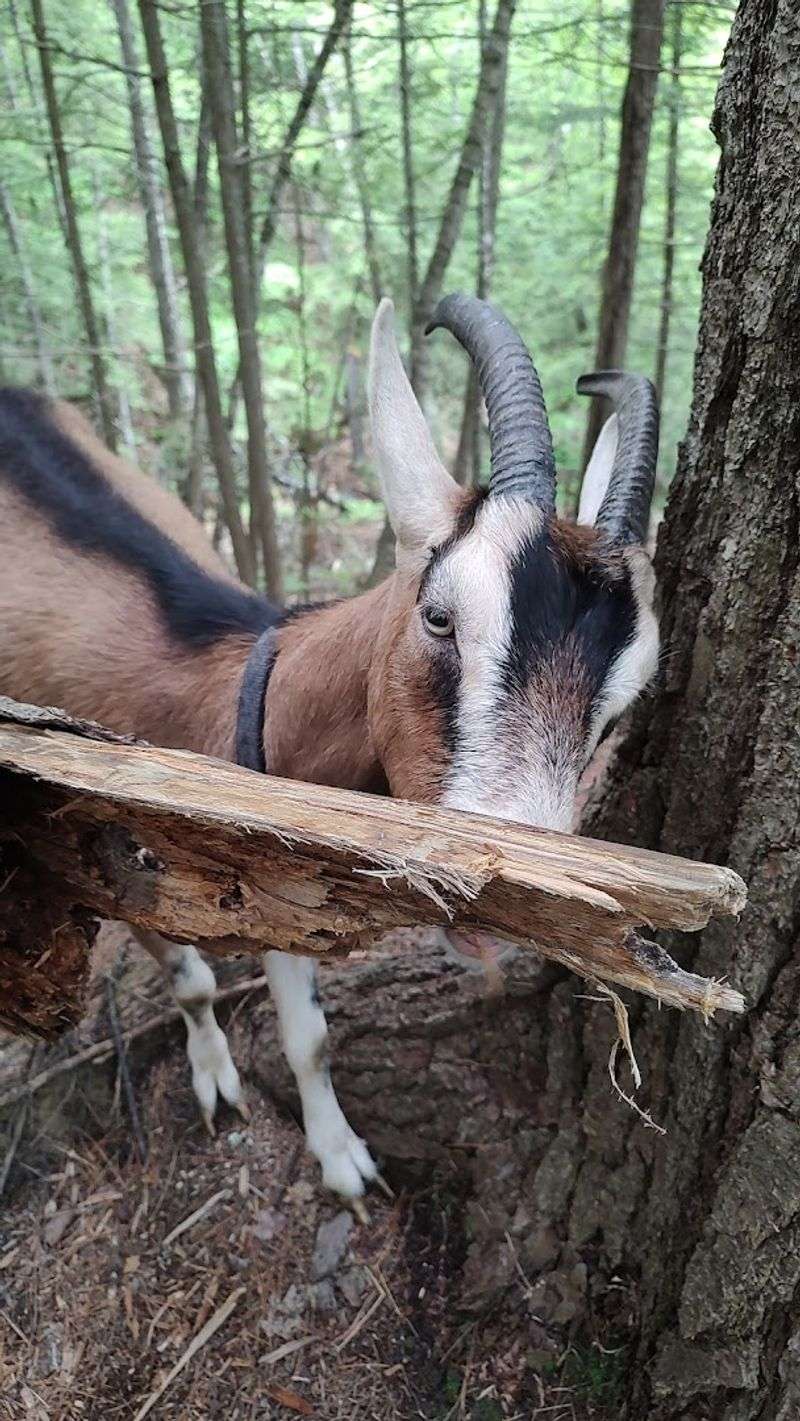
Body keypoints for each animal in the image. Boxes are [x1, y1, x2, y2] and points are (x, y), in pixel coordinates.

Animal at [0, 294, 660, 1201]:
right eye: (439, 616)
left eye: (619, 705)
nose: (503, 921)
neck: (222, 693)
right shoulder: (104, 854)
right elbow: (191, 980)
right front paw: (218, 1083)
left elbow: (309, 1035)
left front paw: (342, 1155)